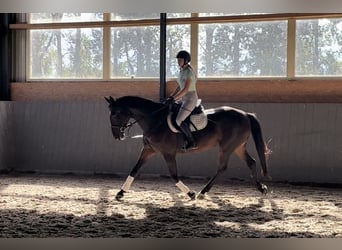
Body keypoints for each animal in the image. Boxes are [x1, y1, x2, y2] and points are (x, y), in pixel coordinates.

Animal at [105, 95, 272, 201]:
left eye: (115, 114)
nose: (116, 135)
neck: (155, 120)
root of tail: (245, 114)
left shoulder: (168, 153)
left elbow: (174, 175)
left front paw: (190, 194)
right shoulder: (149, 150)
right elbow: (134, 169)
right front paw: (120, 193)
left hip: (227, 147)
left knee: (222, 168)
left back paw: (202, 192)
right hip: (237, 147)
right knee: (251, 162)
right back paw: (261, 188)